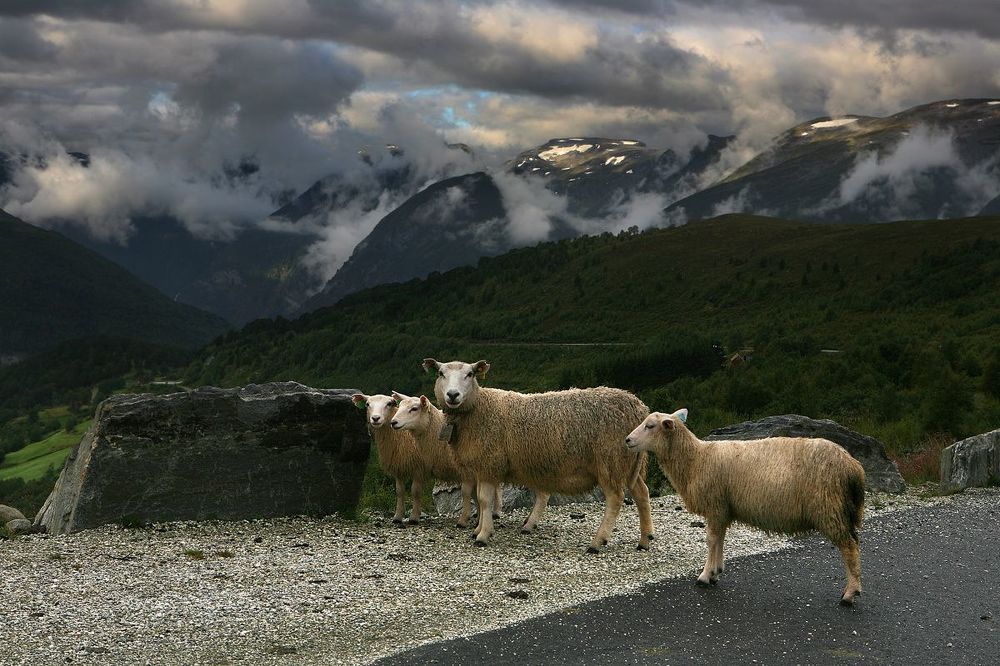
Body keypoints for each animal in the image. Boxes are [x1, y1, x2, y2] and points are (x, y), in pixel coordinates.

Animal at [352, 393, 427, 524]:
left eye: (389, 404)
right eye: (367, 404)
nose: (375, 418)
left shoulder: (419, 468)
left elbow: (415, 491)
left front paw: (414, 517)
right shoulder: (399, 467)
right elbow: (400, 492)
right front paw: (397, 516)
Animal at [388, 391, 503, 528]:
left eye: (414, 409)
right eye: (399, 406)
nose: (393, 422)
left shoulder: (465, 470)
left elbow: (466, 492)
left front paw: (463, 520)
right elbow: (474, 494)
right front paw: (478, 519)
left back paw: (496, 512)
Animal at [422, 358, 654, 552]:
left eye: (470, 374)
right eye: (441, 373)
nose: (453, 395)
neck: (478, 408)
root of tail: (638, 407)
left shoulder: (489, 463)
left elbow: (484, 501)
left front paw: (483, 535)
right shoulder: (481, 467)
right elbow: (479, 500)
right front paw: (478, 529)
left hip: (610, 461)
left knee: (615, 498)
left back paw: (597, 542)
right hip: (630, 462)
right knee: (642, 493)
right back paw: (644, 540)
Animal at [625, 408, 865, 606]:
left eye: (650, 426)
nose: (627, 440)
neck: (696, 460)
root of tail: (853, 467)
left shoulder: (715, 504)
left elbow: (711, 539)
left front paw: (704, 575)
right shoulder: (723, 508)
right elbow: (719, 539)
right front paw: (716, 571)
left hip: (829, 508)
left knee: (850, 547)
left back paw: (850, 594)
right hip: (840, 509)